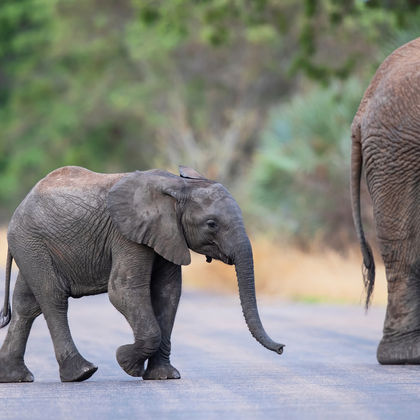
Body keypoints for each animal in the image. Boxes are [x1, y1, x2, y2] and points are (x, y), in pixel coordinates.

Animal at [0, 166, 284, 382]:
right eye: (211, 224)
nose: (282, 348)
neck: (177, 186)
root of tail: (20, 206)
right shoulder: (126, 234)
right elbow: (122, 290)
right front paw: (126, 361)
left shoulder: (167, 234)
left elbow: (168, 294)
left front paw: (164, 376)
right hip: (31, 241)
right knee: (53, 298)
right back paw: (82, 373)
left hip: (31, 246)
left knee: (27, 305)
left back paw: (15, 378)